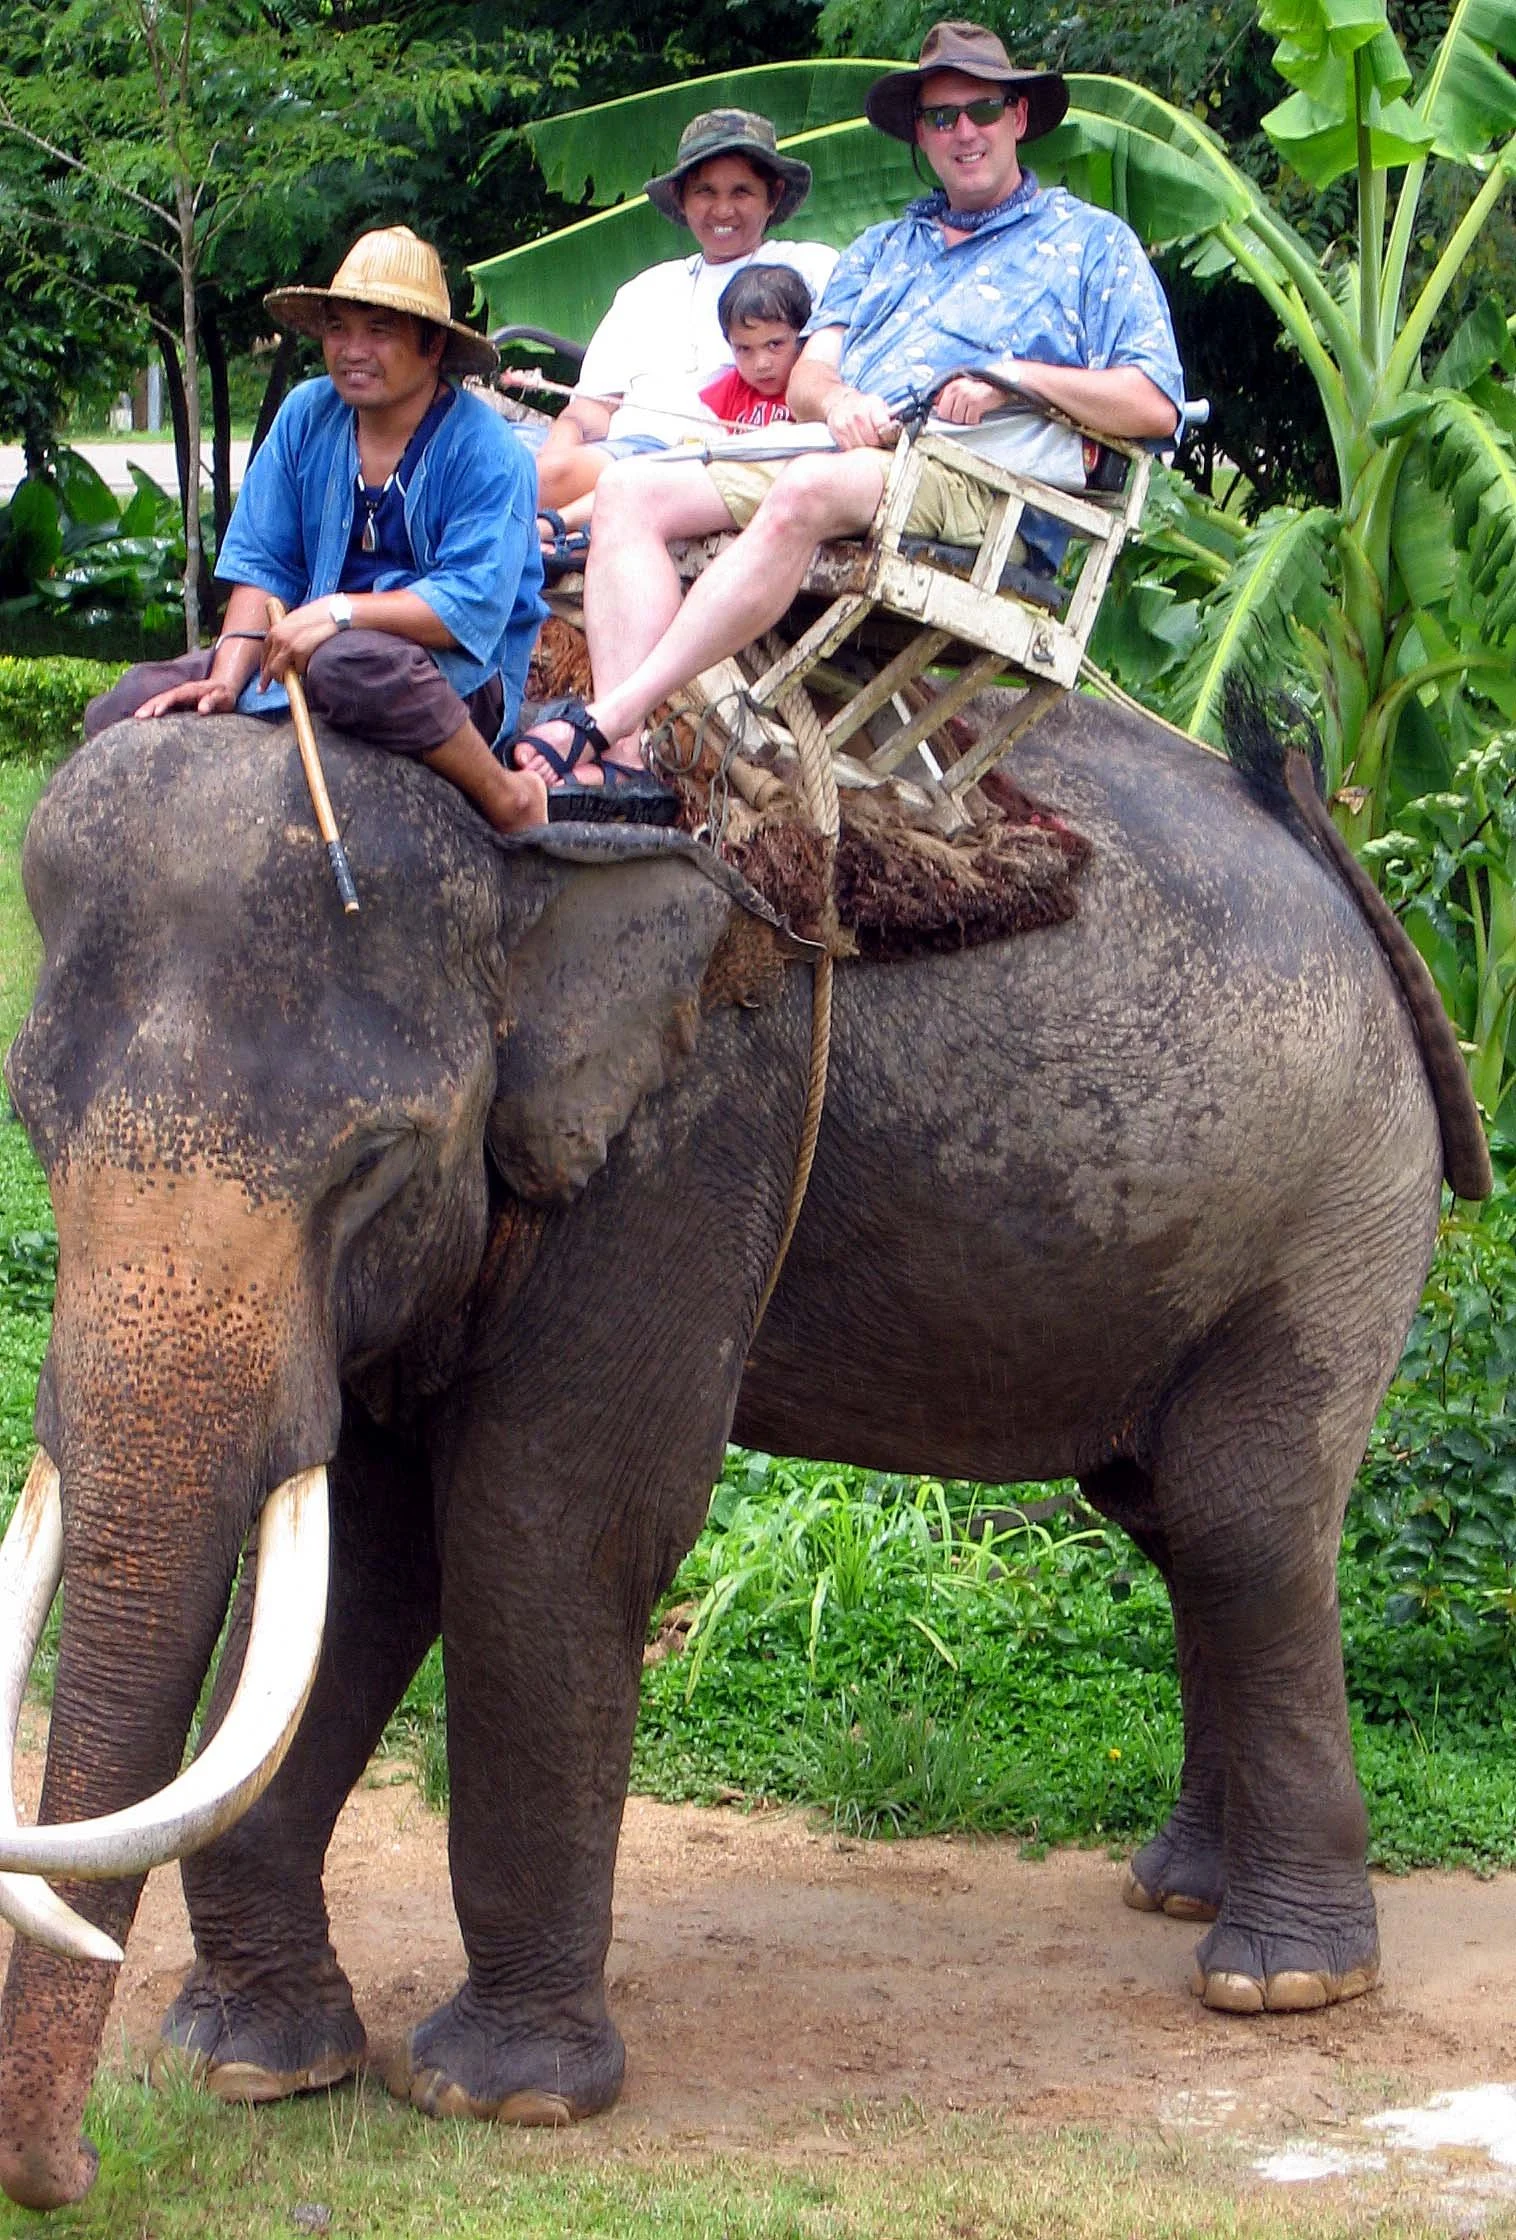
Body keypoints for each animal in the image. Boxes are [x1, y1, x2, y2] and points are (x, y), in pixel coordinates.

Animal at [0, 690, 1487, 2210]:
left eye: (373, 1163)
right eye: (33, 1124)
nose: (71, 2168)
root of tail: (1337, 857)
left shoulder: (689, 1131)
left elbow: (545, 1529)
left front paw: (501, 2097)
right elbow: (367, 1557)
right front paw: (250, 2064)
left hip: (1336, 1205)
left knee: (1245, 1521)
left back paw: (1278, 1980)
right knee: (1170, 1518)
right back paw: (1176, 1887)